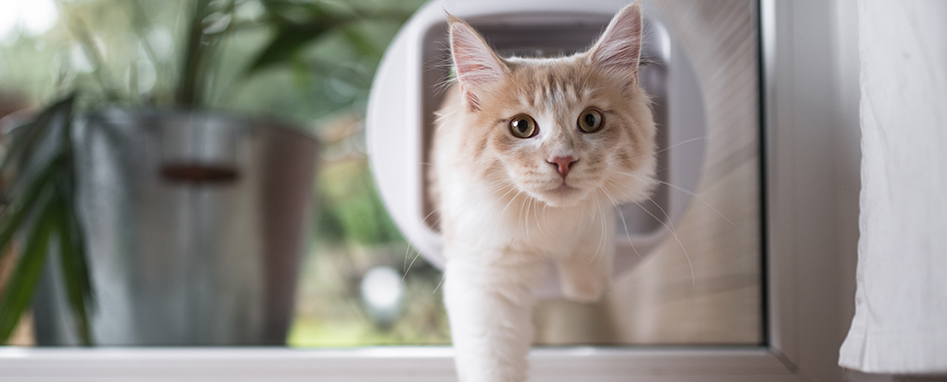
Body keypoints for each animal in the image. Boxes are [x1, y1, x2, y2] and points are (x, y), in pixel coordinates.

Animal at [434, 3, 656, 382]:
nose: (562, 161)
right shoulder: (483, 282)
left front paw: (587, 288)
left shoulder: (595, 220)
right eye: (521, 126)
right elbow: (493, 365)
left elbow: (591, 251)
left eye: (591, 121)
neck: (551, 221)